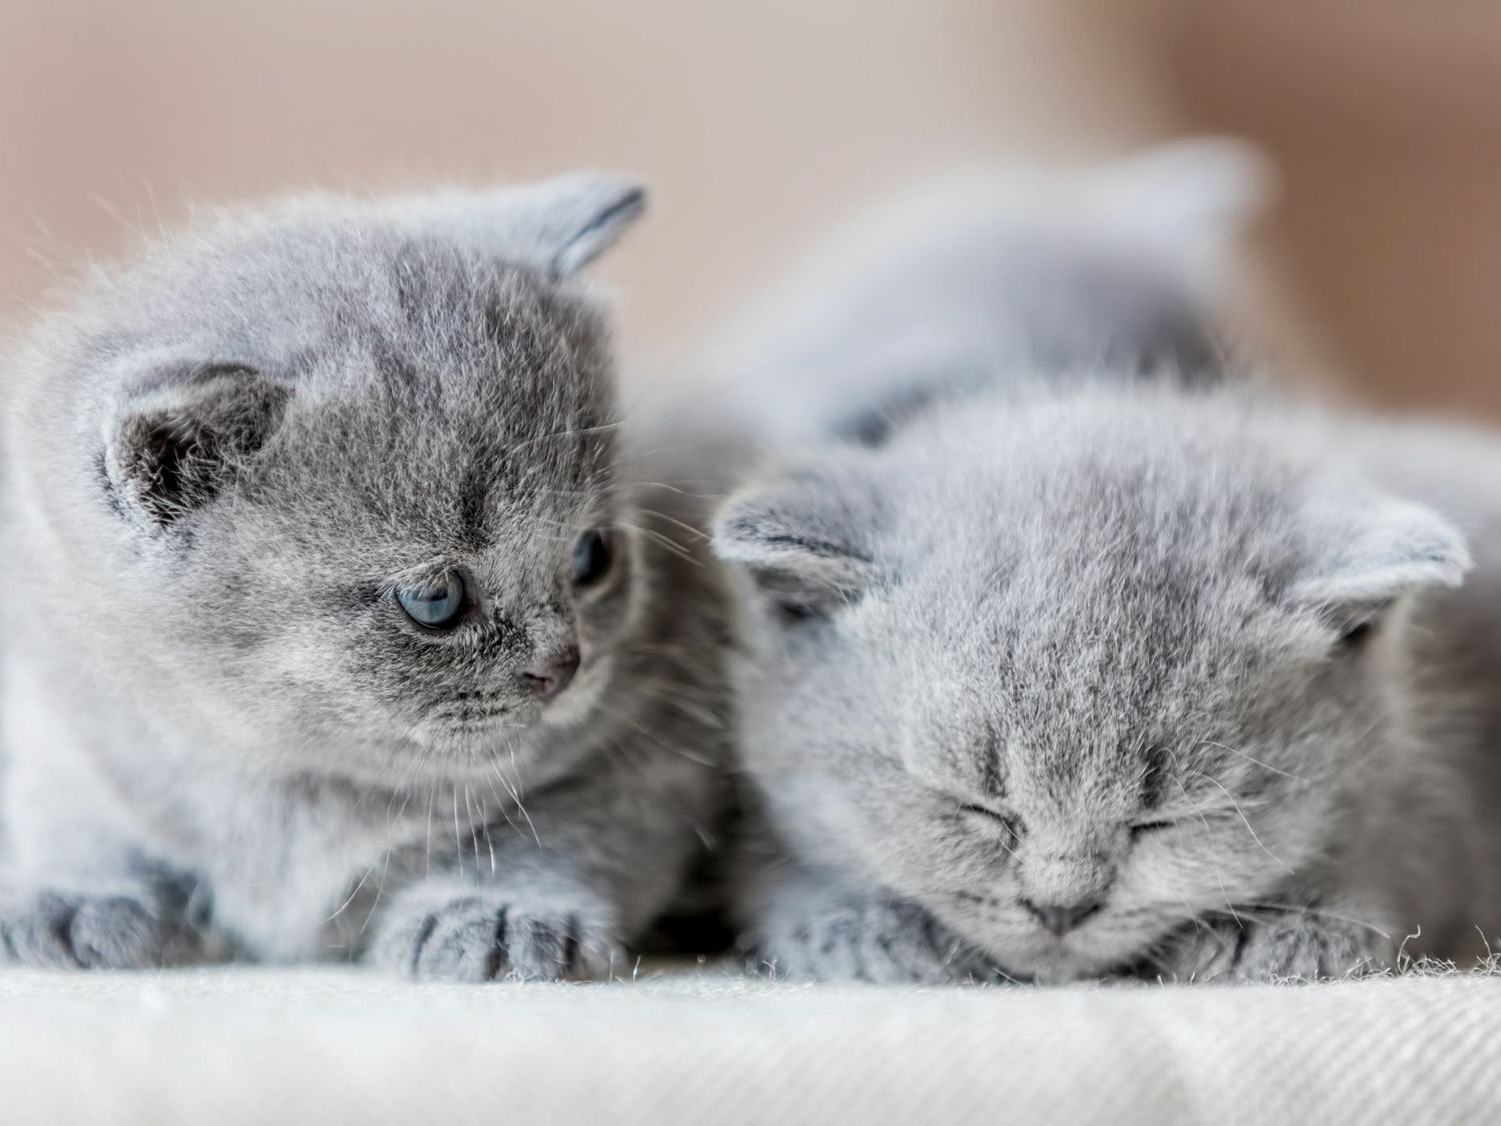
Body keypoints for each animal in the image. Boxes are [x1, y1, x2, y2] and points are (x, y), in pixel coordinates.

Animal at [0, 174, 729, 978]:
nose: (564, 664)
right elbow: (75, 813)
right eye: (435, 599)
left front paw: (497, 911)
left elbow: (568, 831)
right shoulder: (59, 718)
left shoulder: (657, 729)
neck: (299, 786)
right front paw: (78, 893)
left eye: (590, 556)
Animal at [711, 384, 1501, 984]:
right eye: (975, 806)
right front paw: (858, 923)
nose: (1061, 909)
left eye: (1166, 821)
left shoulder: (1444, 812)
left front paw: (1291, 928)